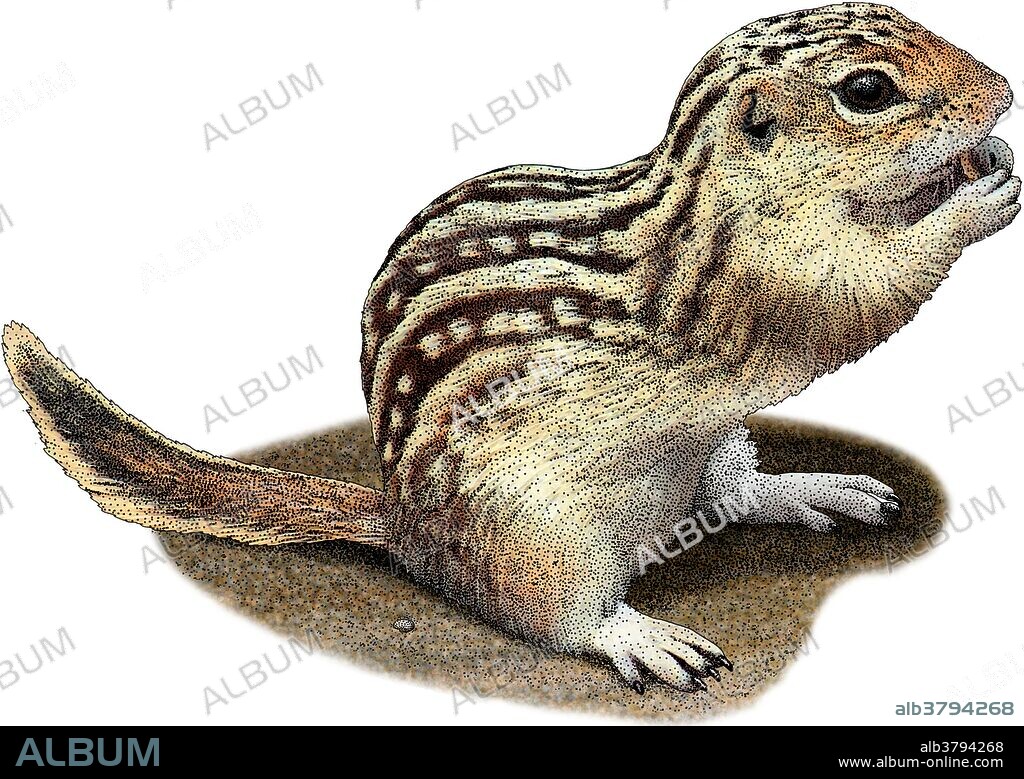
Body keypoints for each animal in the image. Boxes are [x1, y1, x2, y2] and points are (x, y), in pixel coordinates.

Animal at [3, 3, 1019, 694]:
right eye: (867, 92)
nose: (1003, 91)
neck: (705, 198)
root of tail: (406, 525)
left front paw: (992, 163)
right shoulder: (761, 281)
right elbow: (857, 297)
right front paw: (981, 196)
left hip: (713, 442)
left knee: (732, 493)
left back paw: (816, 487)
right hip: (537, 534)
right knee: (558, 616)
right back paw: (639, 635)